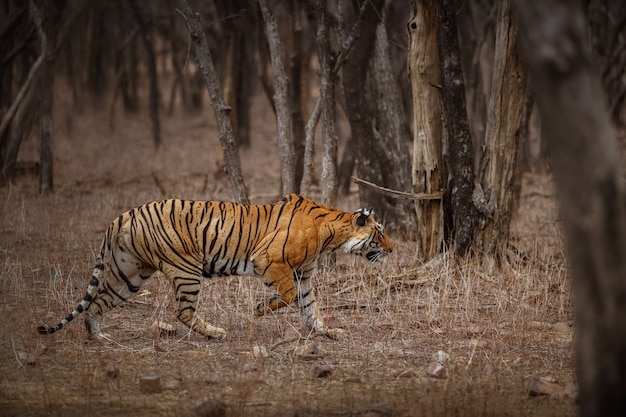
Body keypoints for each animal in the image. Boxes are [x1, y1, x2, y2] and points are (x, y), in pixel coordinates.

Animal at [37, 193, 390, 340]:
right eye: (380, 233)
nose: (391, 249)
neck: (332, 232)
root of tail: (122, 215)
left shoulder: (304, 274)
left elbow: (310, 307)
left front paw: (327, 332)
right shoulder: (270, 261)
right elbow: (289, 296)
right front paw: (259, 311)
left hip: (131, 273)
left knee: (96, 303)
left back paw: (99, 337)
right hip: (186, 269)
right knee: (182, 311)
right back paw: (215, 334)